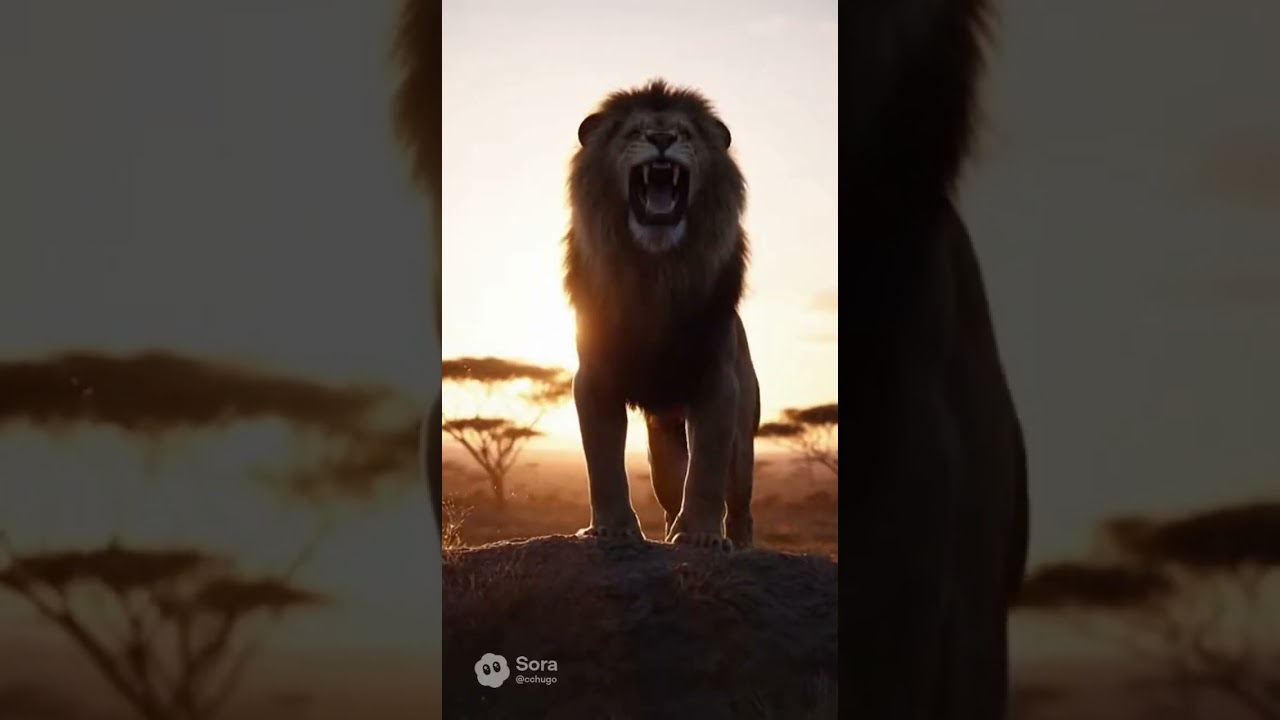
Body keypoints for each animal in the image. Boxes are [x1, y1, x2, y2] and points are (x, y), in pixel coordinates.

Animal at [564, 79, 761, 552]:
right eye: (634, 132)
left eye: (685, 133)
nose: (661, 139)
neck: (655, 272)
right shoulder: (594, 378)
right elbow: (603, 463)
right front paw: (611, 528)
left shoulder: (717, 380)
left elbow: (706, 470)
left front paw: (703, 536)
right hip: (662, 442)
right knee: (672, 488)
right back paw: (671, 529)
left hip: (742, 443)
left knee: (738, 500)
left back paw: (740, 544)